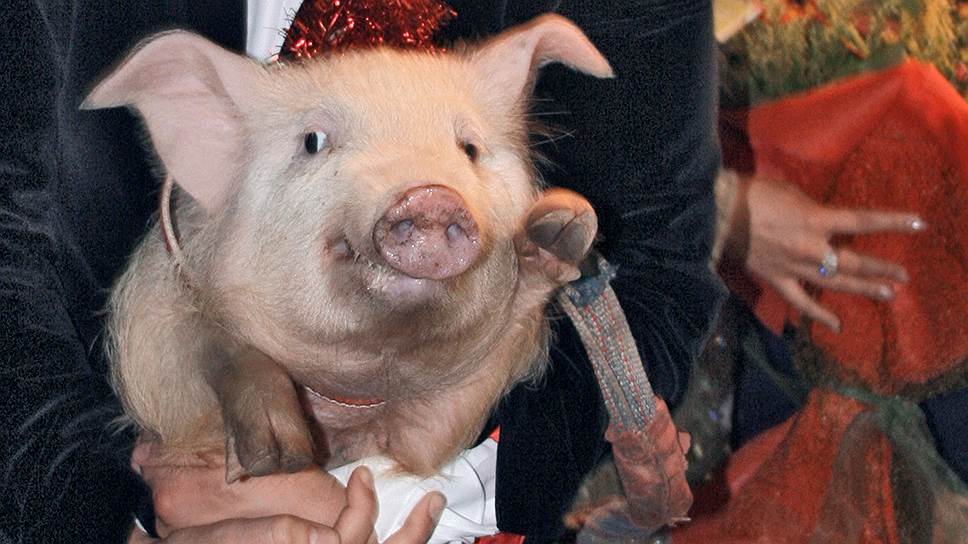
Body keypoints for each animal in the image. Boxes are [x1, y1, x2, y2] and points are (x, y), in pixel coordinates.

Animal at [84, 14, 612, 482]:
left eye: (469, 149)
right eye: (313, 141)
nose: (432, 198)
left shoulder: (419, 434)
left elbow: (440, 424)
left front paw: (563, 223)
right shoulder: (160, 340)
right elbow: (207, 340)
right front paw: (276, 457)